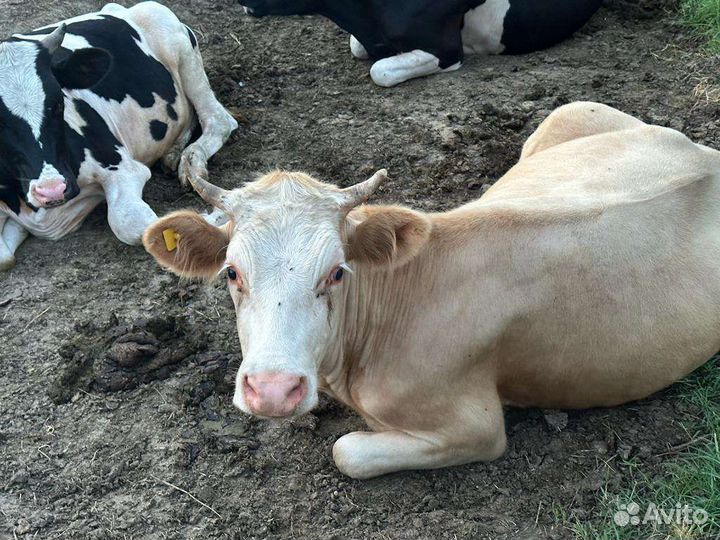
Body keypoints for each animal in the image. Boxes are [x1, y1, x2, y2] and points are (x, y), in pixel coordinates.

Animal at [0, 2, 238, 270]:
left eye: (58, 102)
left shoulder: (123, 168)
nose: (52, 190)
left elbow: (133, 224)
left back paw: (192, 161)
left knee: (219, 120)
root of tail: (120, 9)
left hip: (180, 48)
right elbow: (4, 257)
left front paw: (218, 216)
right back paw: (174, 153)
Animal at [143, 102, 720, 479]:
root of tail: (703, 154)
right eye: (232, 273)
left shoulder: (475, 427)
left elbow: (347, 451)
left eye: (336, 273)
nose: (272, 391)